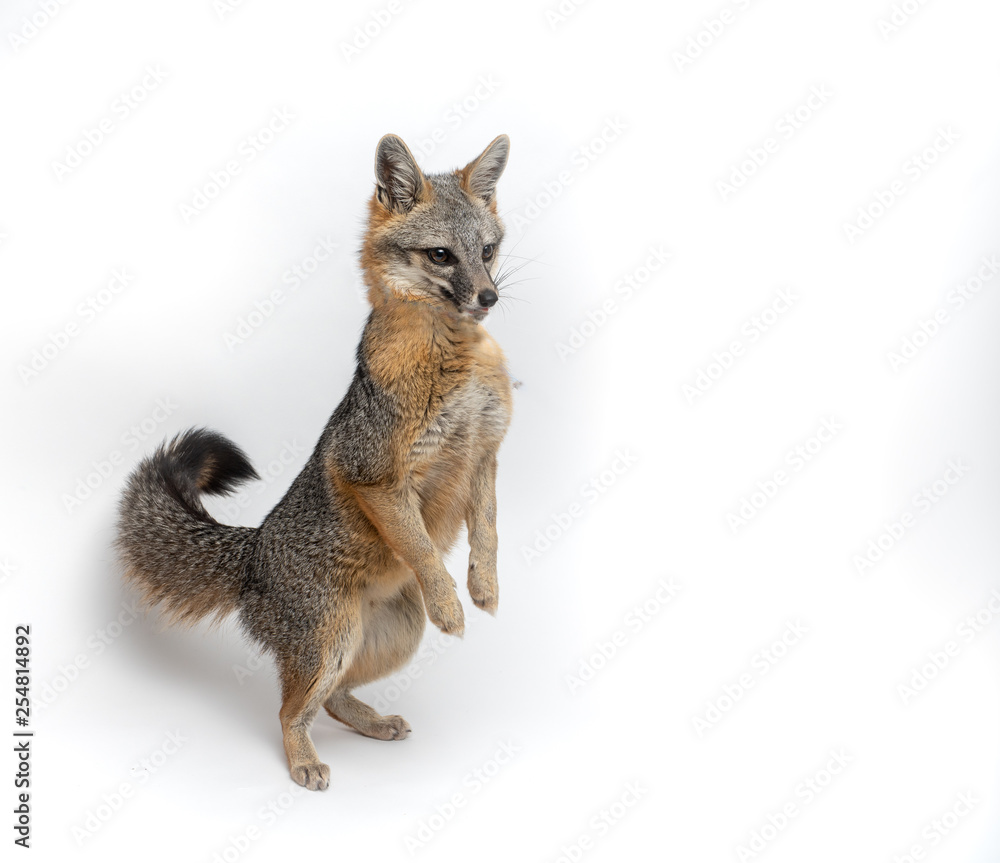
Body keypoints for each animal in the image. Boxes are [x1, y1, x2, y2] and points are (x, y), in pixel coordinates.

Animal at [116, 133, 514, 791]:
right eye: (441, 256)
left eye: (486, 250)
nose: (489, 297)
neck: (452, 362)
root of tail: (253, 549)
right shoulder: (375, 475)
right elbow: (424, 550)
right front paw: (452, 603)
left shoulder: (485, 454)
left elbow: (487, 532)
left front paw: (484, 587)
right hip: (332, 643)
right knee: (289, 710)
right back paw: (303, 762)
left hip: (385, 639)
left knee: (329, 701)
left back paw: (372, 723)